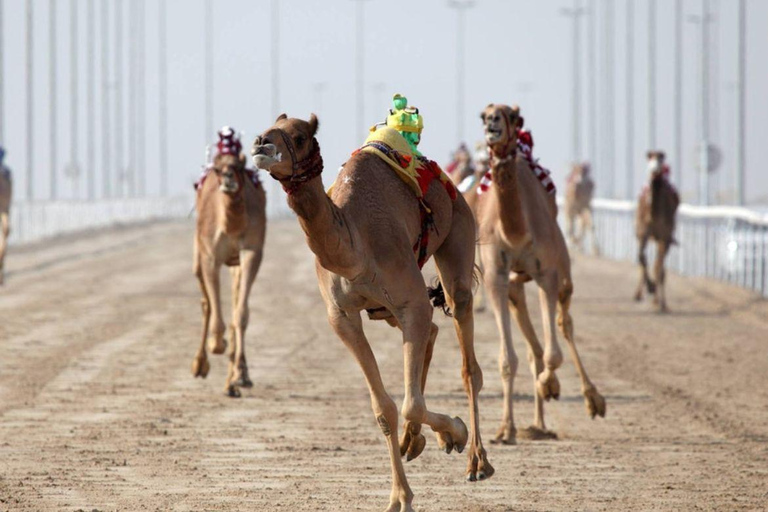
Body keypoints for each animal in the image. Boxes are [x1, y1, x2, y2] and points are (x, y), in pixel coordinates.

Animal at [192, 127, 268, 396]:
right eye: (216, 168)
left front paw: (239, 376)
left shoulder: (252, 251)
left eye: (238, 165)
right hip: (197, 253)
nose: (227, 178)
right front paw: (216, 343)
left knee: (235, 302)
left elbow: (241, 314)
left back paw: (234, 379)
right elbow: (214, 307)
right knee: (205, 302)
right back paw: (200, 364)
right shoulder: (209, 254)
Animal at [252, 114, 492, 510]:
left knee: (467, 356)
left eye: (299, 136)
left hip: (458, 230)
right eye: (270, 125)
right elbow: (384, 408)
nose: (260, 144)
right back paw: (415, 440)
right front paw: (399, 495)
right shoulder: (342, 317)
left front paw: (456, 432)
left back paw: (476, 460)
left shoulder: (409, 299)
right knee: (431, 334)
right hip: (386, 309)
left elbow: (409, 404)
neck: (354, 247)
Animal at [474, 104, 608, 444]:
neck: (515, 233)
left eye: (509, 114)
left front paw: (551, 385)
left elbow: (554, 354)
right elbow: (508, 359)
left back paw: (591, 399)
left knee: (564, 324)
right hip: (515, 286)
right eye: (483, 114)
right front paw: (504, 429)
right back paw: (535, 424)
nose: (492, 123)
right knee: (532, 343)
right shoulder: (496, 276)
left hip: (563, 273)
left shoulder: (547, 273)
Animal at [636, 150, 680, 312]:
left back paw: (660, 302)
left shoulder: (664, 236)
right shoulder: (643, 232)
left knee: (659, 265)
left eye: (660, 159)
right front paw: (650, 287)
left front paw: (659, 300)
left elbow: (658, 268)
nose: (655, 171)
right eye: (649, 159)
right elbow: (641, 257)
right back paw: (639, 294)